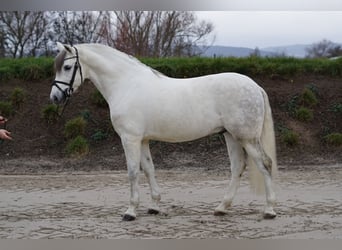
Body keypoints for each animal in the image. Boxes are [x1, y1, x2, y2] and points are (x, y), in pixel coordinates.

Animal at [50, 42, 278, 221]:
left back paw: (269, 210)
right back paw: (222, 208)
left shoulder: (130, 139)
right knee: (238, 167)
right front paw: (154, 207)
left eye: (67, 66)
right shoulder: (142, 140)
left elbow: (133, 172)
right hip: (231, 136)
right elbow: (149, 169)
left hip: (246, 137)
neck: (126, 84)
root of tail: (255, 87)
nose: (55, 97)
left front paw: (130, 211)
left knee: (265, 164)